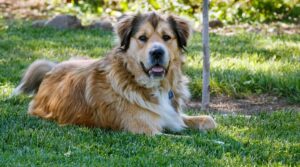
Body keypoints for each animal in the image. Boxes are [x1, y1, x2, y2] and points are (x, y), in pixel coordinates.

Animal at [14, 12, 217, 135]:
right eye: (142, 38)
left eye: (166, 37)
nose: (157, 52)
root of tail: (50, 71)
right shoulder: (146, 131)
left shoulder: (172, 116)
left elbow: (209, 120)